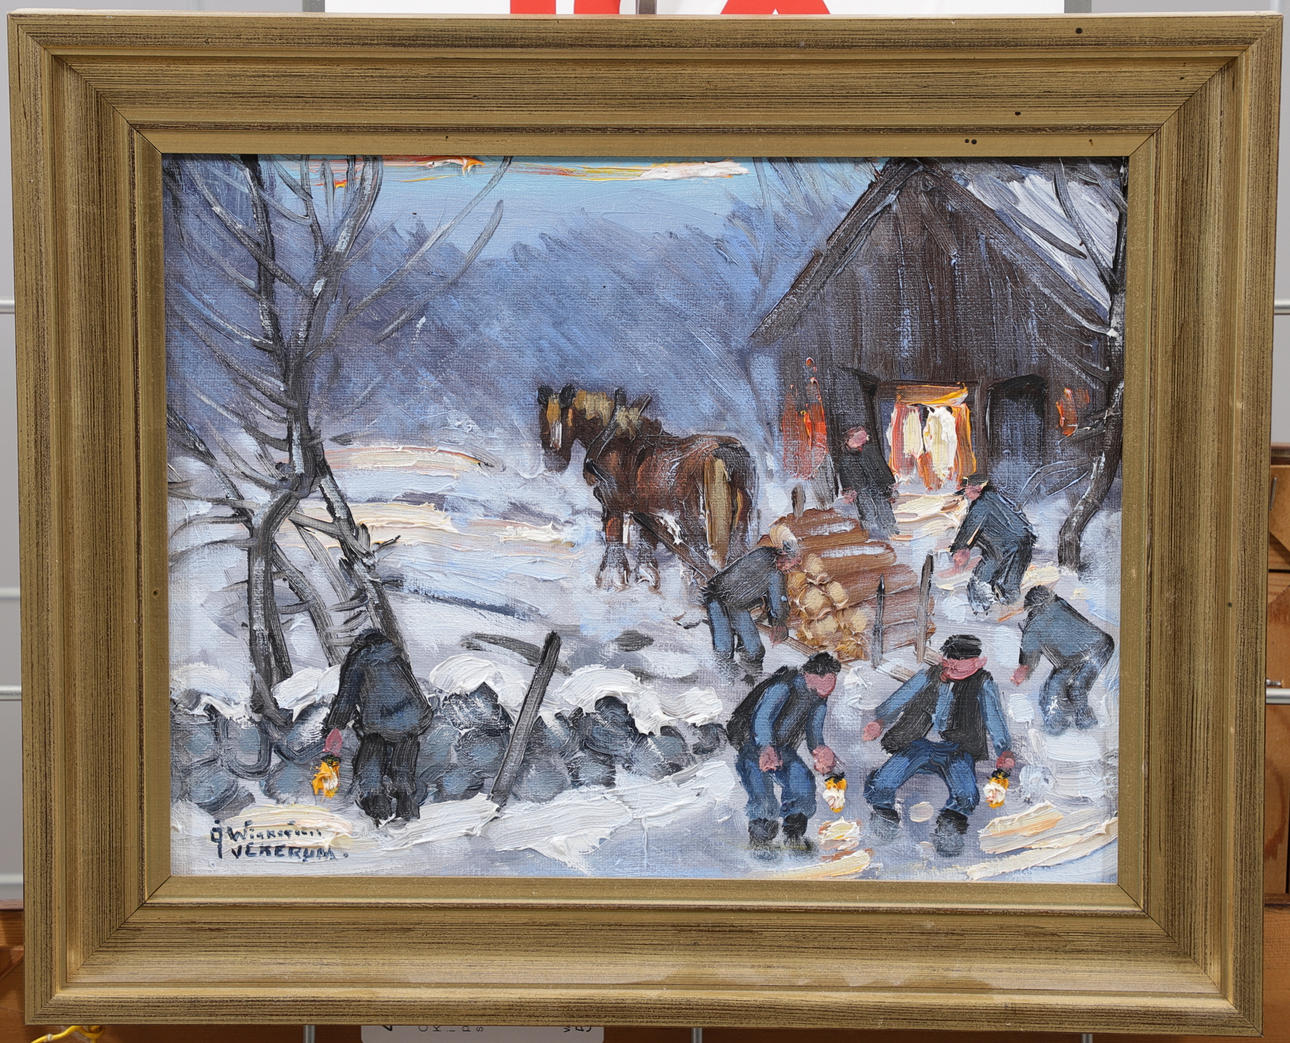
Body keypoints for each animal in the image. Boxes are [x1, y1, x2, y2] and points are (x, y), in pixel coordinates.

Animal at [537, 384, 757, 590]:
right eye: (542, 420)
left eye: (555, 421)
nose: (553, 463)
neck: (612, 441)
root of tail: (724, 453)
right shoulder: (645, 510)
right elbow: (646, 543)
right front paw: (647, 577)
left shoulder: (613, 502)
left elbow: (613, 537)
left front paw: (613, 581)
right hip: (740, 517)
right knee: (735, 552)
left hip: (694, 520)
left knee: (707, 557)